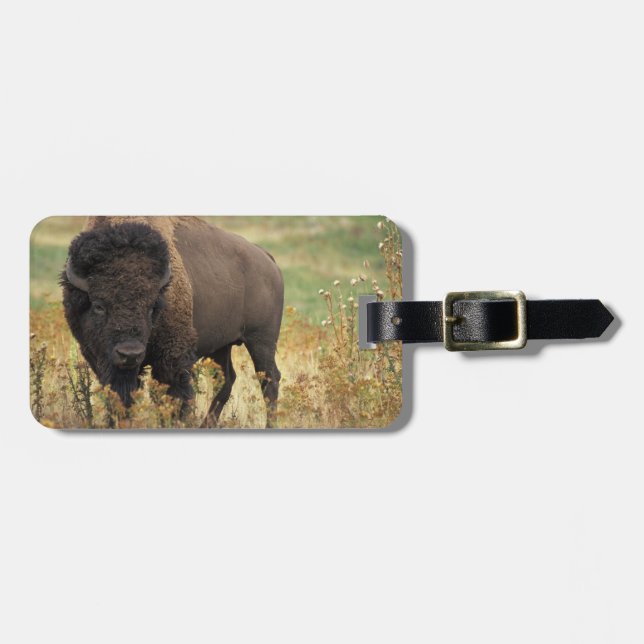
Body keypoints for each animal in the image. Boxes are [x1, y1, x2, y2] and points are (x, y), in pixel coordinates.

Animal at [61, 216, 284, 427]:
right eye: (98, 305)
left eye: (152, 306)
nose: (130, 354)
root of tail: (267, 258)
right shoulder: (99, 359)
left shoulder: (172, 358)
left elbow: (173, 397)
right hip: (222, 346)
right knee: (226, 380)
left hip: (261, 340)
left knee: (269, 379)